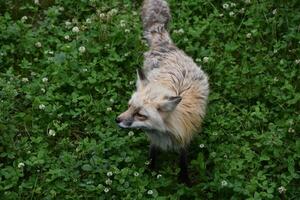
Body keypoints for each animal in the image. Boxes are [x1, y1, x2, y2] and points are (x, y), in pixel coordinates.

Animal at [115, 0, 209, 185]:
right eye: (129, 106)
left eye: (140, 114)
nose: (117, 120)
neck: (164, 132)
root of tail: (165, 44)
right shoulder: (154, 140)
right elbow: (152, 154)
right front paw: (150, 171)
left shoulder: (185, 138)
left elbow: (183, 160)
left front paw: (185, 180)